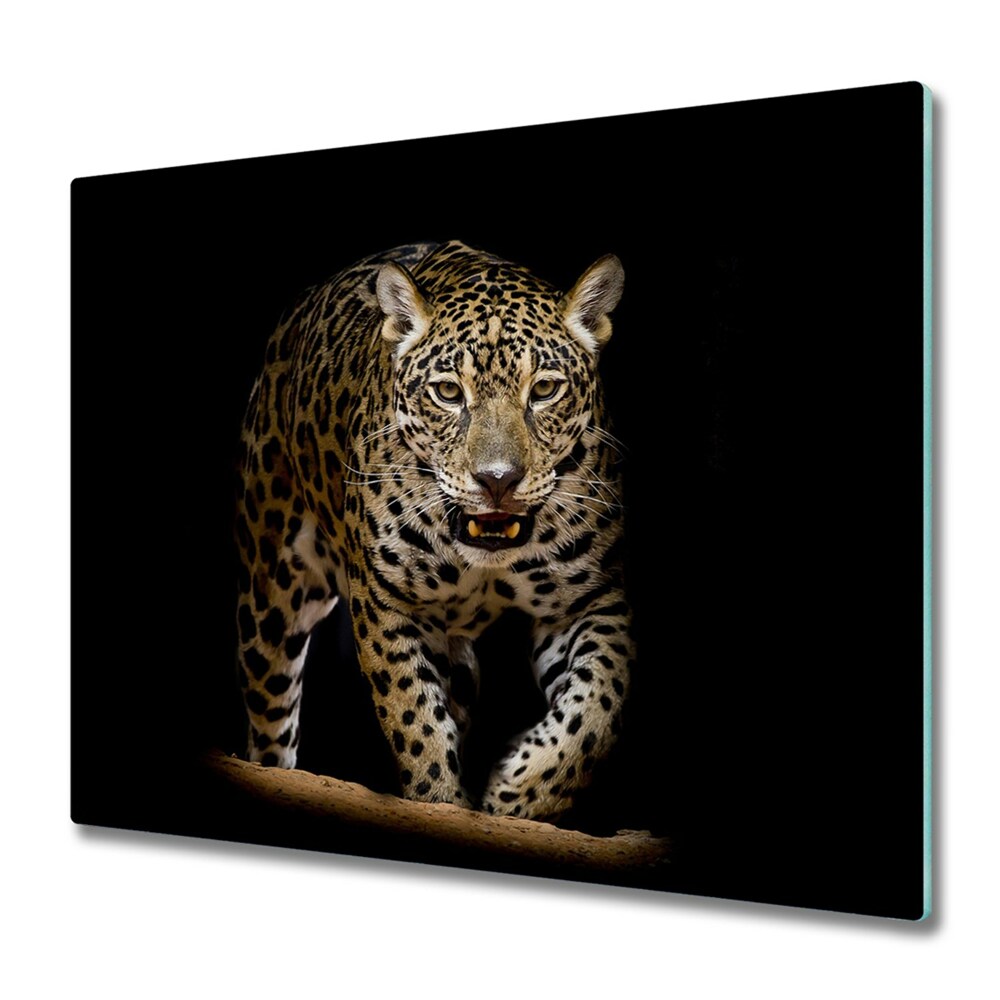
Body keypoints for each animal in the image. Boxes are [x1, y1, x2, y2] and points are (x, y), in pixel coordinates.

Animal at [234, 239, 635, 821]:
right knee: (270, 716)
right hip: (272, 592)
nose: (498, 480)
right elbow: (413, 718)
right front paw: (441, 802)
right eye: (447, 392)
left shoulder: (590, 600)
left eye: (543, 389)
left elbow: (598, 707)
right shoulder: (386, 604)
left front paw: (517, 792)